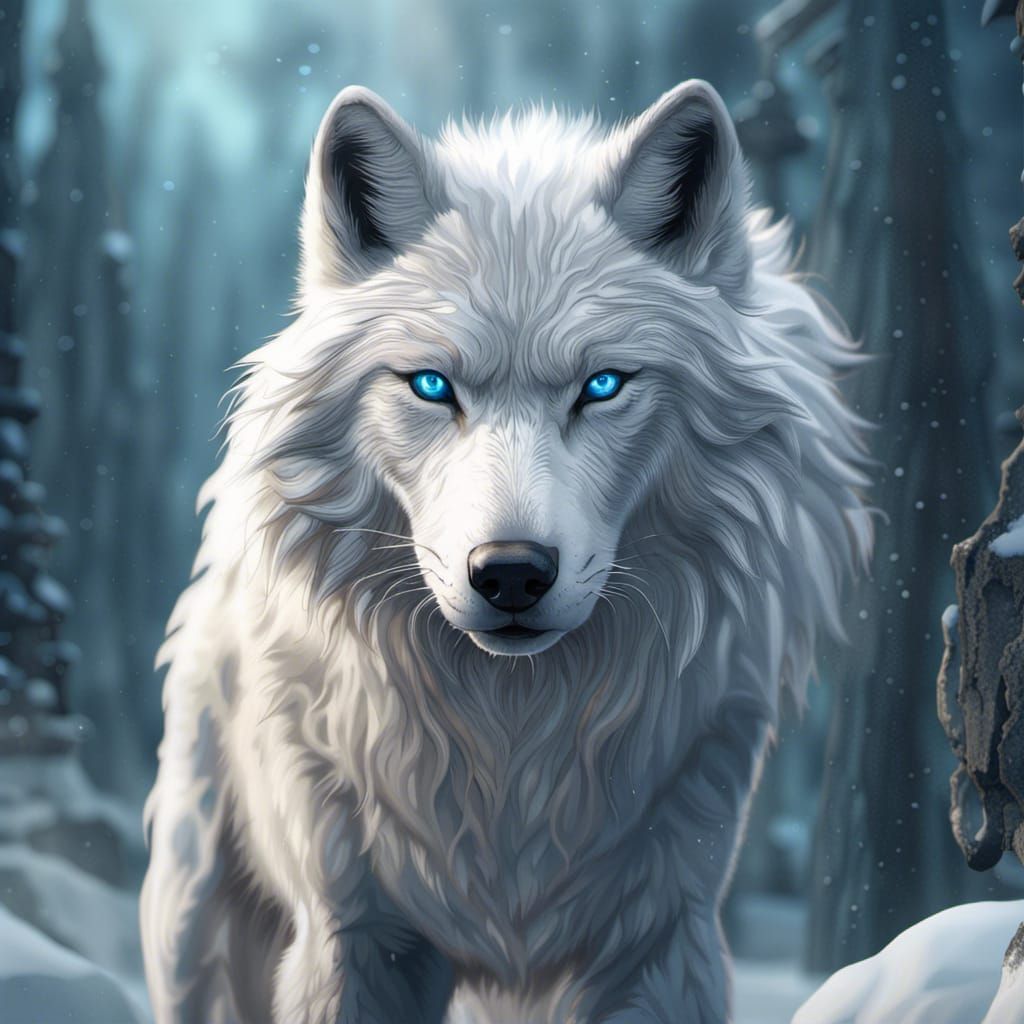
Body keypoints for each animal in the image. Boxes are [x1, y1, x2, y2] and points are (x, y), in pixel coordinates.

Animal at [140, 80, 871, 1024]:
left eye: (603, 386)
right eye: (430, 386)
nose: (512, 572)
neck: (512, 736)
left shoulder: (659, 936)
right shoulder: (355, 936)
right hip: (201, 918)